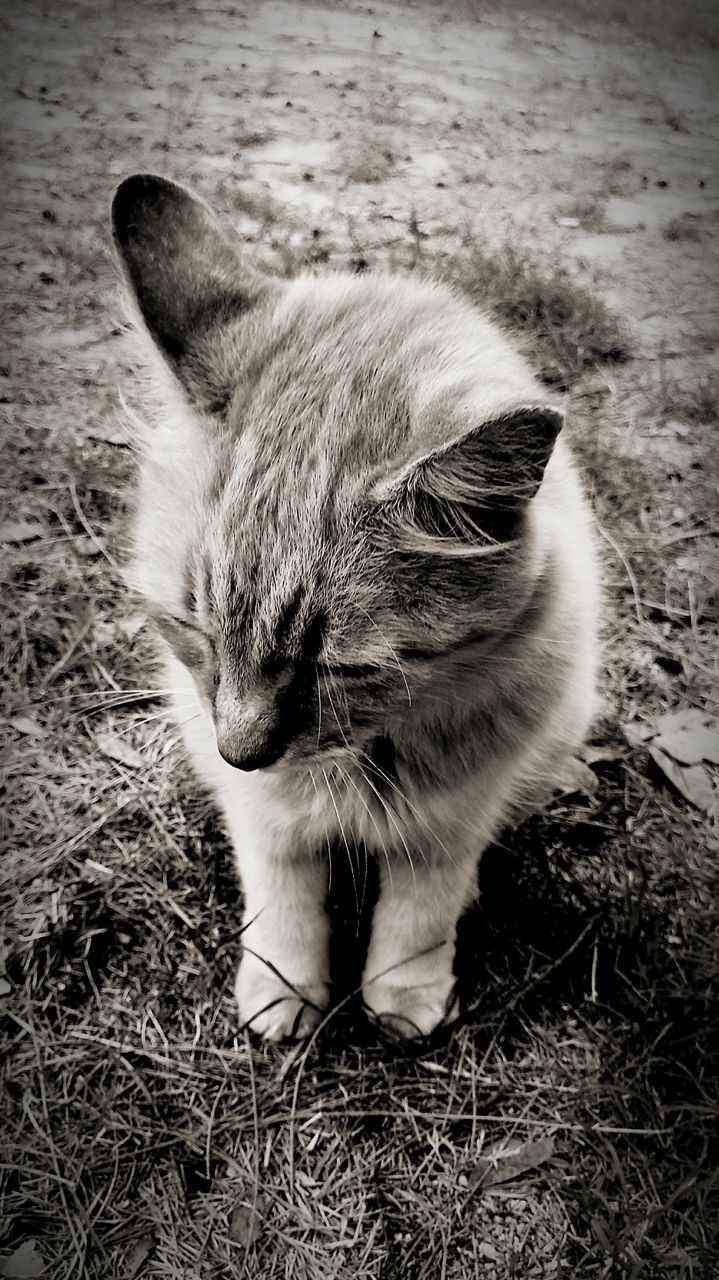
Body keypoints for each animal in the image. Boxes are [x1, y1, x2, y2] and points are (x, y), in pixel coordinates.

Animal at [111, 175, 598, 1039]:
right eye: (195, 632)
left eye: (335, 668)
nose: (239, 751)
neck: (357, 763)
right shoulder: (261, 810)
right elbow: (281, 892)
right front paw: (281, 993)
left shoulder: (452, 816)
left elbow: (420, 911)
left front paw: (404, 998)